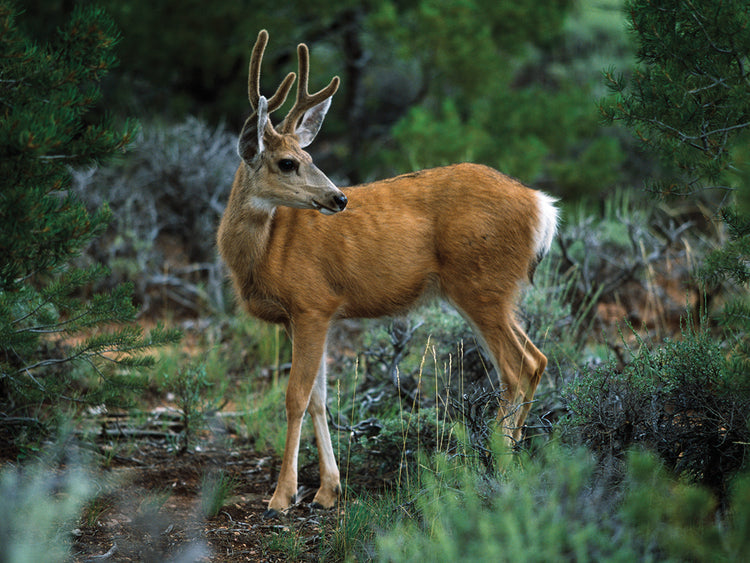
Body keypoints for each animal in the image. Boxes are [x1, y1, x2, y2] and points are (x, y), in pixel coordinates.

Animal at [217, 30, 559, 517]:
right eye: (289, 161)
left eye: (307, 156)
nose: (338, 198)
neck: (264, 253)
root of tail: (542, 207)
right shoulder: (303, 317)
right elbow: (320, 397)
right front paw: (328, 490)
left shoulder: (312, 303)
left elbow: (295, 396)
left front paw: (282, 496)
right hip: (498, 291)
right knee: (538, 358)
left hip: (481, 285)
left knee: (517, 366)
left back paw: (496, 467)